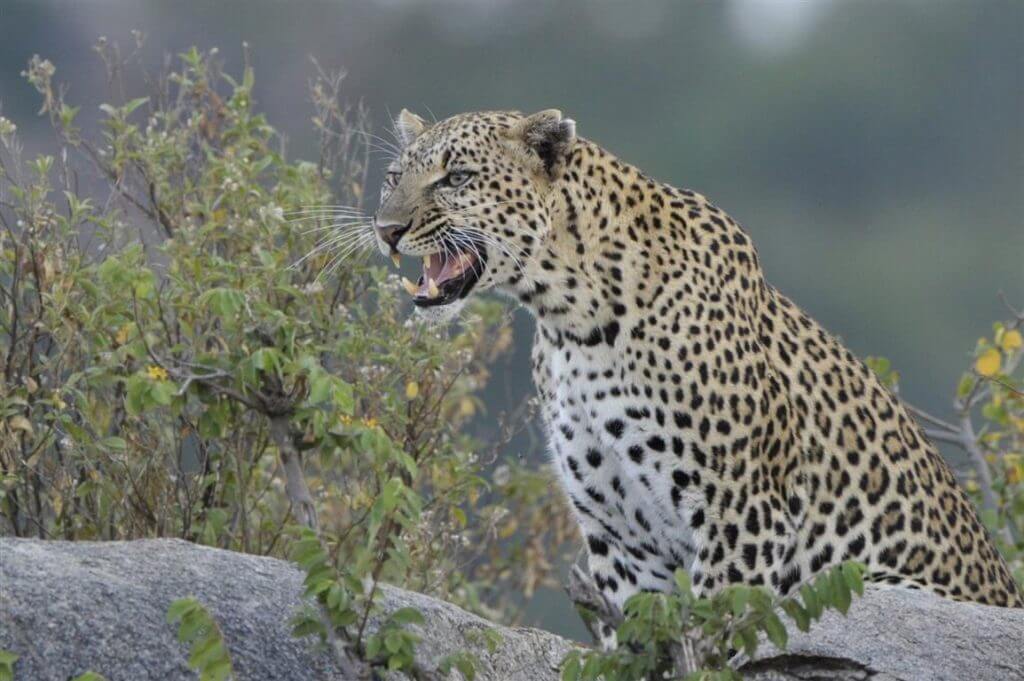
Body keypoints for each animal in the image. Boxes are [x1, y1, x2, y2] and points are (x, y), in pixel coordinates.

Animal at [372, 104, 1019, 630]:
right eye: (393, 177)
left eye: (457, 178)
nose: (386, 230)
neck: (572, 322)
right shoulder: (622, 540)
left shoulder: (743, 516)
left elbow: (714, 637)